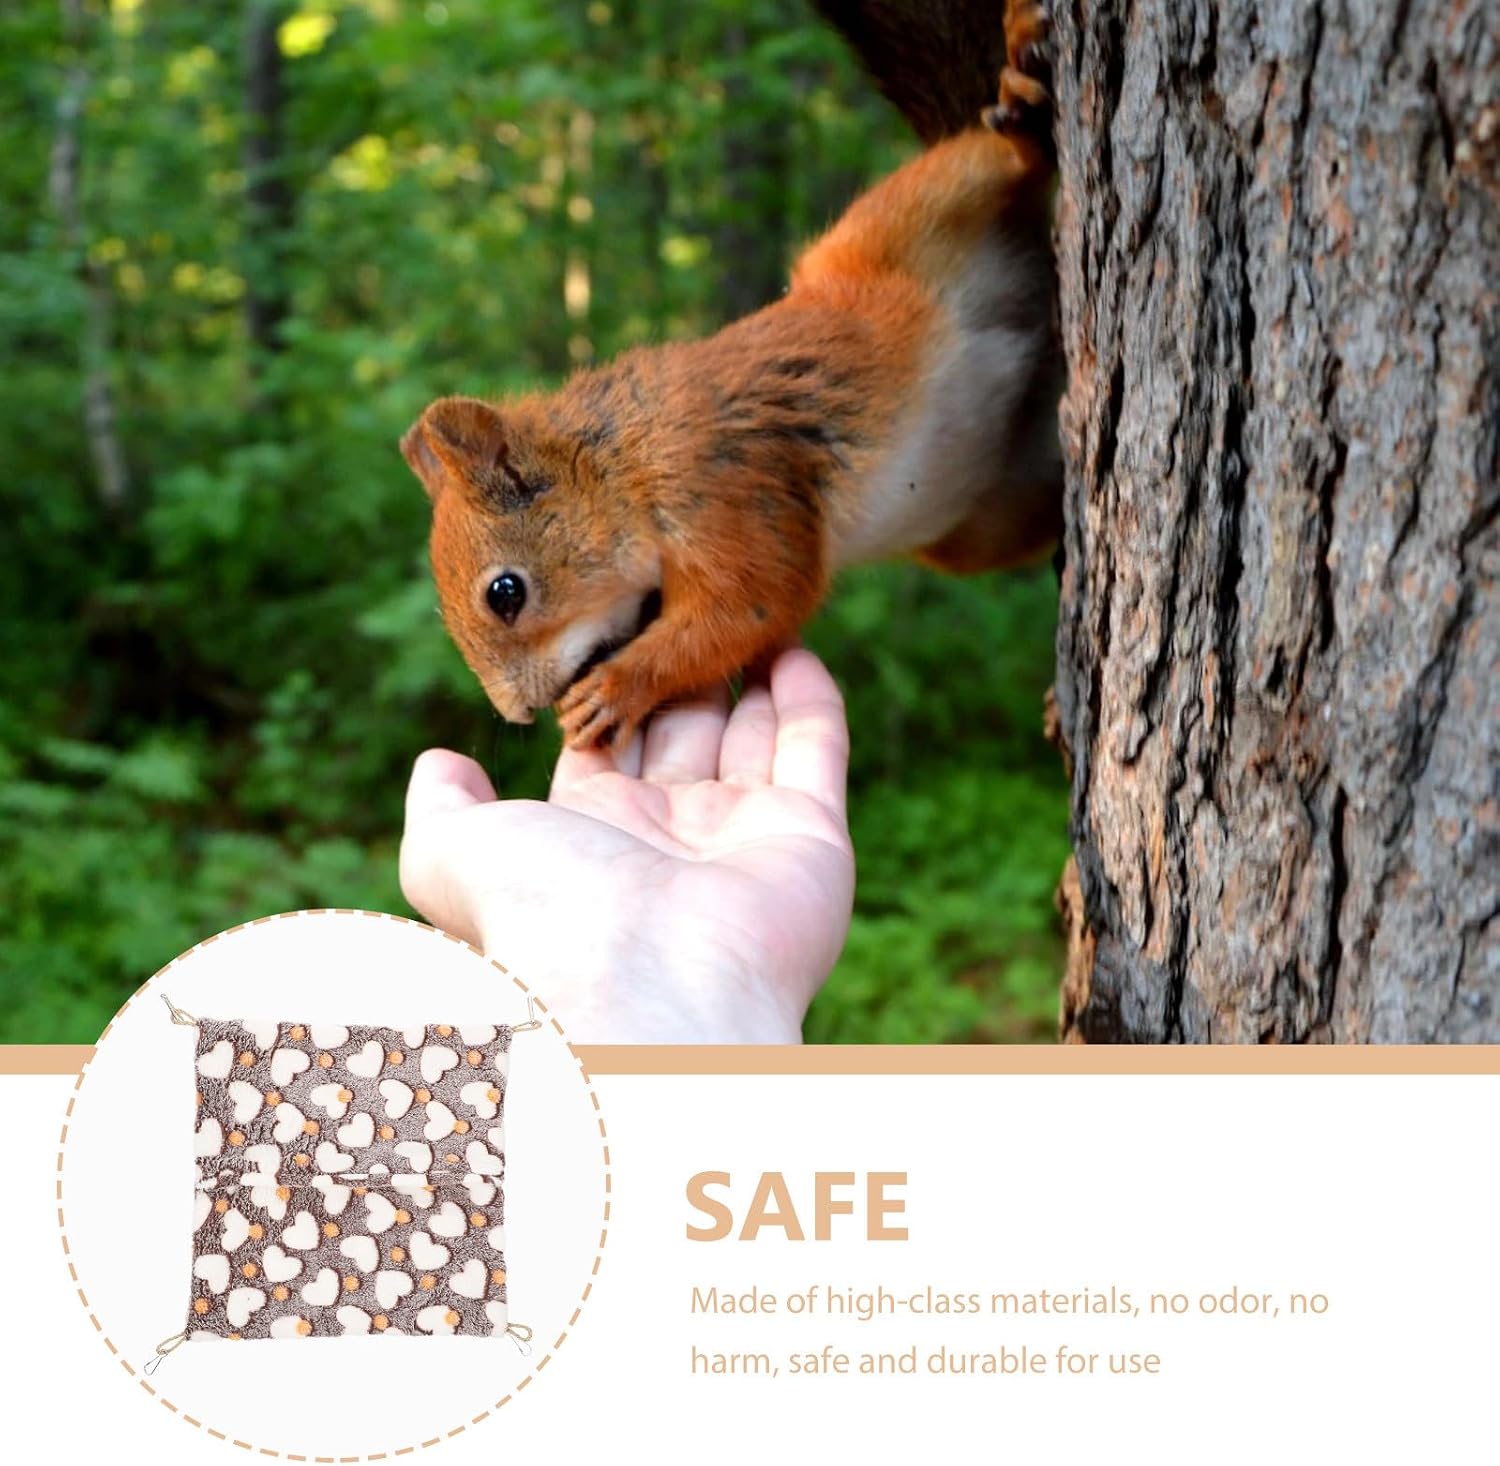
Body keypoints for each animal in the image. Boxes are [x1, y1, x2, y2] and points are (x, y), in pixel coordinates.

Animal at [401, 0, 1060, 750]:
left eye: (505, 593)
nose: (516, 714)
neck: (624, 462)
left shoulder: (721, 483)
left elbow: (753, 602)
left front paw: (618, 688)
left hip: (910, 213)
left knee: (999, 156)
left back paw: (1019, 88)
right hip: (984, 519)